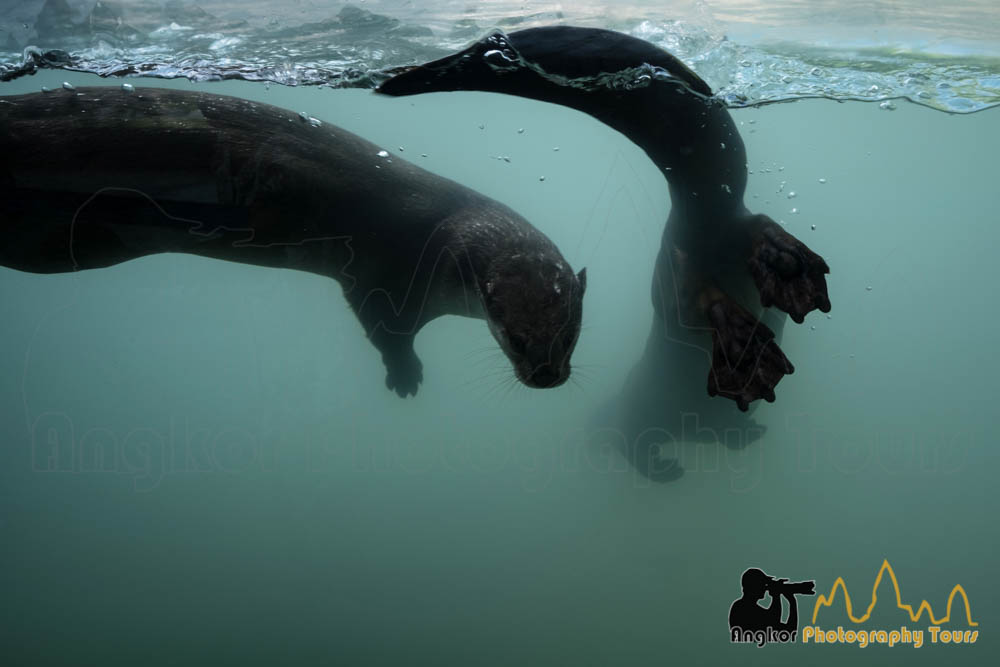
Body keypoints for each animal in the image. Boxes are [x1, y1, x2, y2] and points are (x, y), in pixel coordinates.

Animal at [0, 84, 584, 396]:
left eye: (571, 331)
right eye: (514, 336)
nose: (546, 375)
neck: (447, 231)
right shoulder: (387, 272)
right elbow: (385, 329)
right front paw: (405, 374)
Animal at [378, 27, 832, 480]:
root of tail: (700, 213)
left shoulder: (631, 422)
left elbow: (637, 447)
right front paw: (723, 442)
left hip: (673, 271)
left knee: (697, 287)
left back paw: (749, 336)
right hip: (709, 243)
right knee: (737, 245)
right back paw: (785, 287)